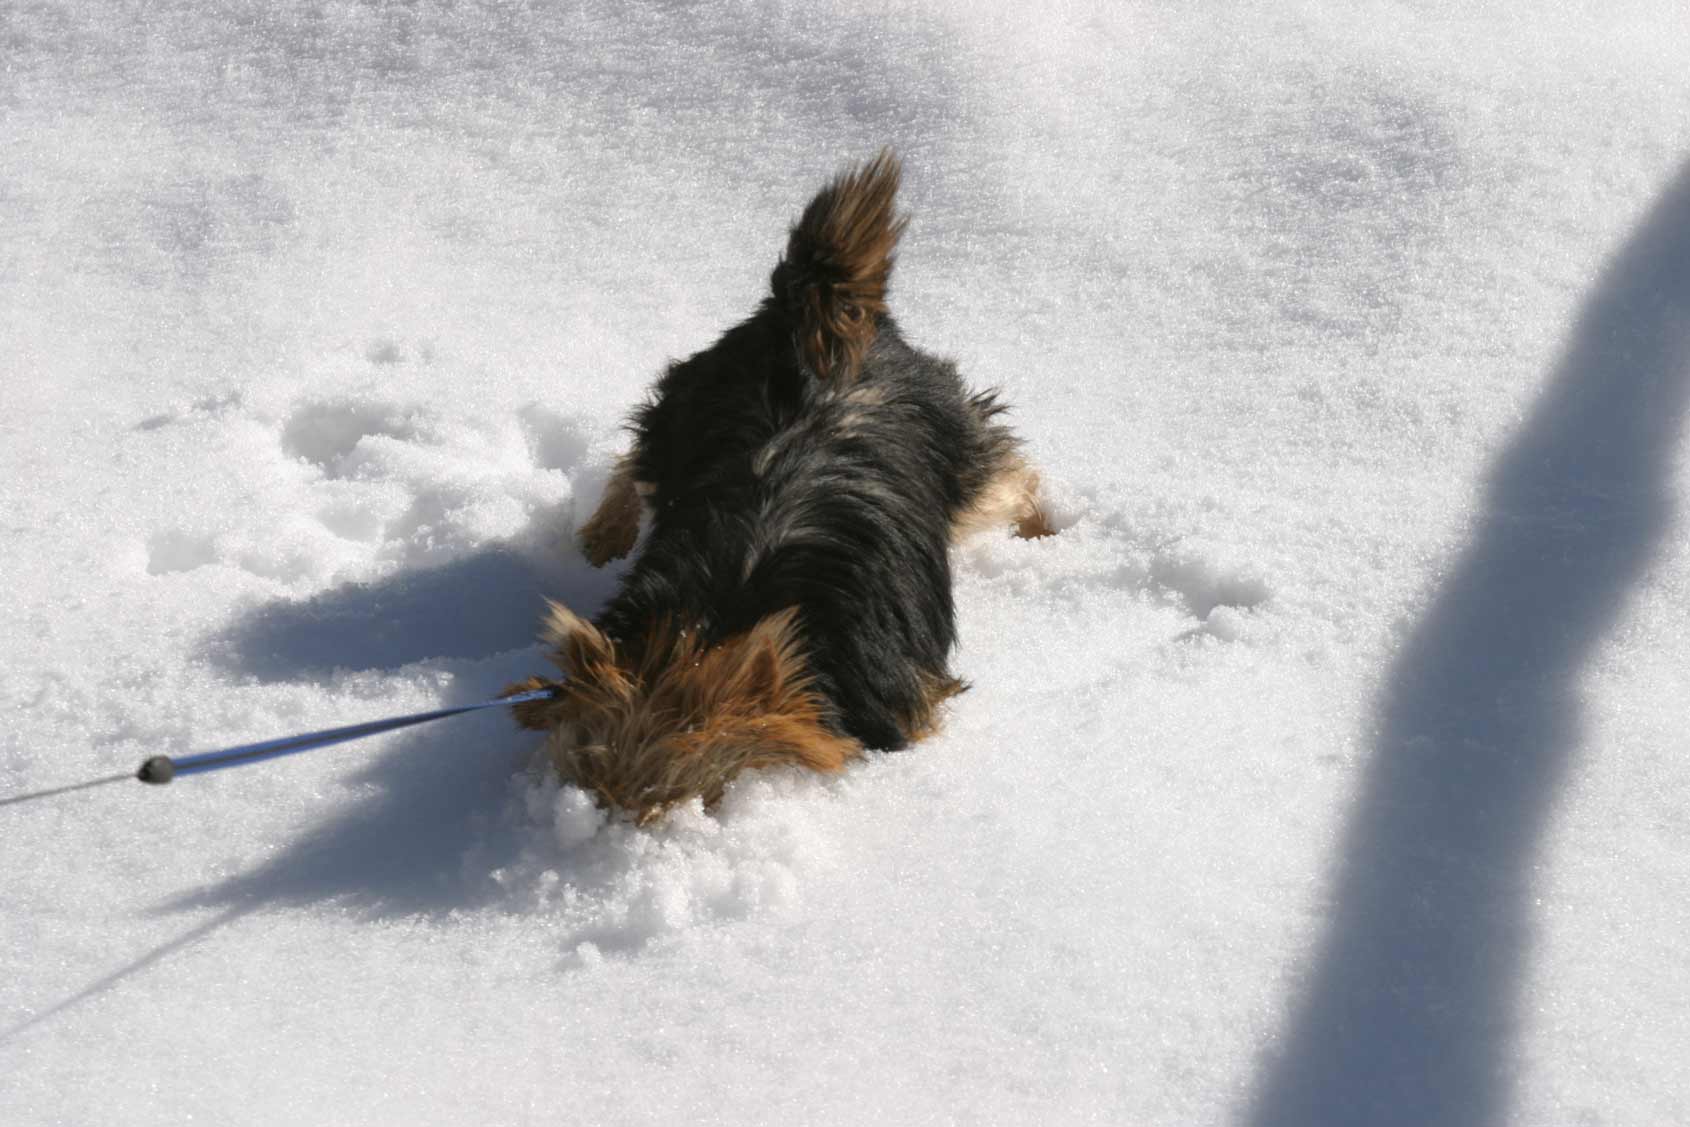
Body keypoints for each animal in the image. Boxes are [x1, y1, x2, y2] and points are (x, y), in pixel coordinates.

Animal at [507, 152, 1047, 821]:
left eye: (699, 794)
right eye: (589, 783)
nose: (617, 825)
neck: (711, 621)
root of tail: (808, 327)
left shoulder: (899, 692)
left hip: (954, 445)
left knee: (1012, 475)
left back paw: (1042, 531)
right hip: (688, 407)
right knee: (637, 464)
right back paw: (603, 536)